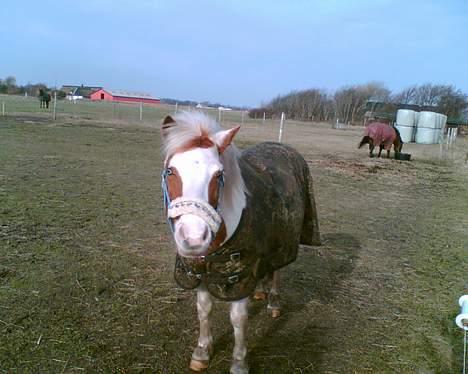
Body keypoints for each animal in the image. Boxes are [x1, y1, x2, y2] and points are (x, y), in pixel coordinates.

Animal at [159, 112, 320, 374]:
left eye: (218, 175)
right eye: (170, 171)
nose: (194, 238)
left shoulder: (238, 274)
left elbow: (238, 319)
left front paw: (239, 361)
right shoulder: (203, 269)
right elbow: (204, 310)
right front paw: (202, 351)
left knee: (277, 270)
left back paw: (273, 302)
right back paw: (260, 291)